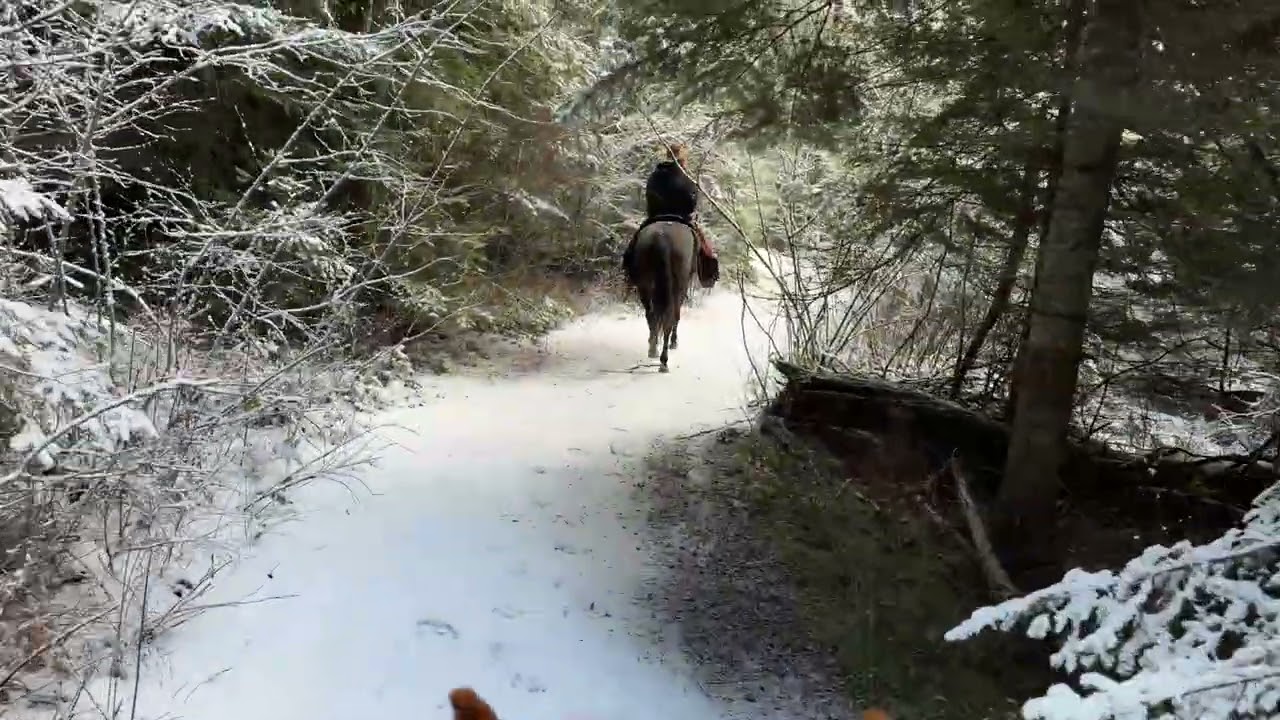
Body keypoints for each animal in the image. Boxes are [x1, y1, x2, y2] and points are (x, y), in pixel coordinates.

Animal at [630, 216, 698, 373]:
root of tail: (662, 237)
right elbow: (677, 316)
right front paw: (674, 342)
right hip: (677, 286)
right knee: (669, 317)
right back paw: (664, 360)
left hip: (645, 283)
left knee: (651, 314)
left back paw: (653, 349)